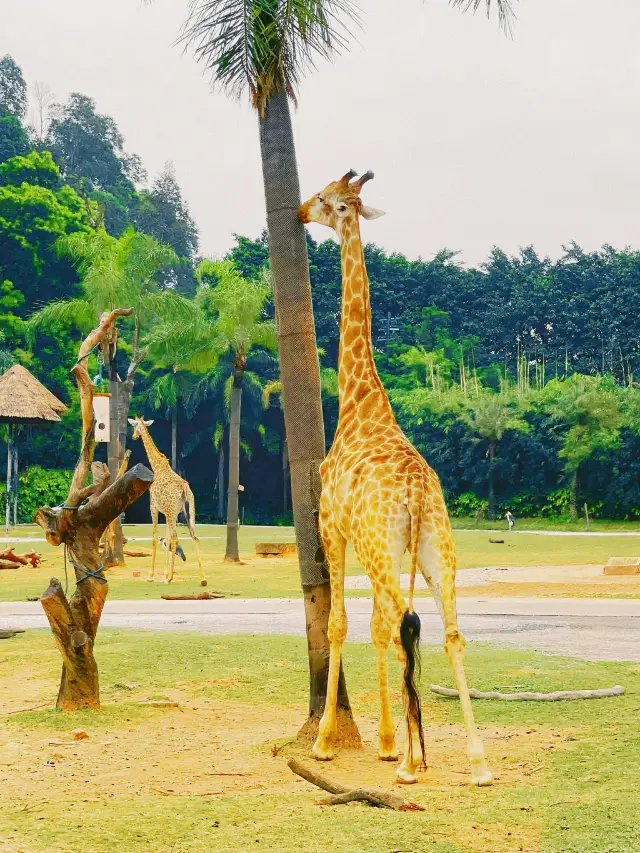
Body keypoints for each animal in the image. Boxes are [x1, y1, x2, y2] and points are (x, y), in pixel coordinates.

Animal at [130, 412, 208, 584]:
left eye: (134, 426)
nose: (134, 436)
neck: (158, 467)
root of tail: (184, 489)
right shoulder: (167, 512)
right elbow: (164, 537)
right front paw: (164, 573)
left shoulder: (154, 507)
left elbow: (155, 538)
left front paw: (152, 575)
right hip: (188, 511)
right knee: (193, 536)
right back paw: (203, 578)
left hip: (173, 512)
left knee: (174, 537)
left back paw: (171, 578)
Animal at [298, 168, 492, 784]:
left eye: (325, 199)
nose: (298, 211)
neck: (358, 402)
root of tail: (415, 492)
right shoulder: (379, 543)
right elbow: (377, 625)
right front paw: (386, 739)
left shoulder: (332, 526)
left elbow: (341, 623)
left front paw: (329, 742)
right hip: (435, 546)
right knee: (449, 632)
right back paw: (476, 761)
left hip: (387, 548)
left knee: (408, 624)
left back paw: (412, 763)